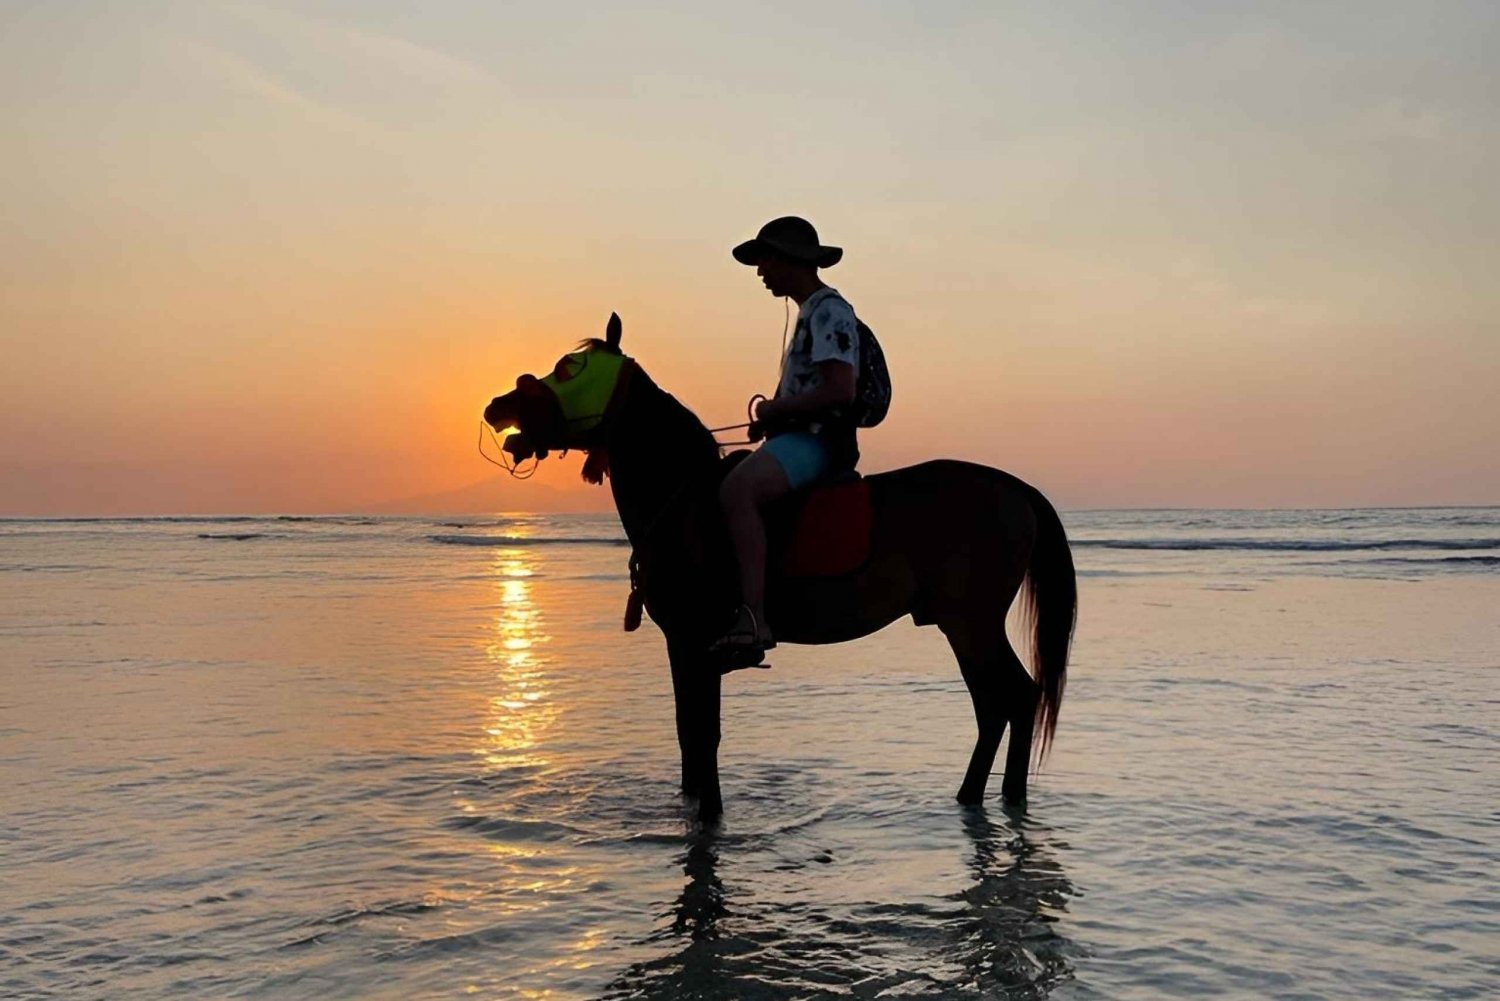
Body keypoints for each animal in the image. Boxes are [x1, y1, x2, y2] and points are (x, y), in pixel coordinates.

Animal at [486, 313, 1074, 822]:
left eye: (570, 368)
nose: (498, 404)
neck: (682, 498)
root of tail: (1015, 488)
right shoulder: (683, 646)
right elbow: (687, 735)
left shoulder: (693, 641)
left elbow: (703, 735)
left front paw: (711, 818)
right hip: (967, 626)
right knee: (1002, 705)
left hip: (970, 624)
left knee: (1012, 699)